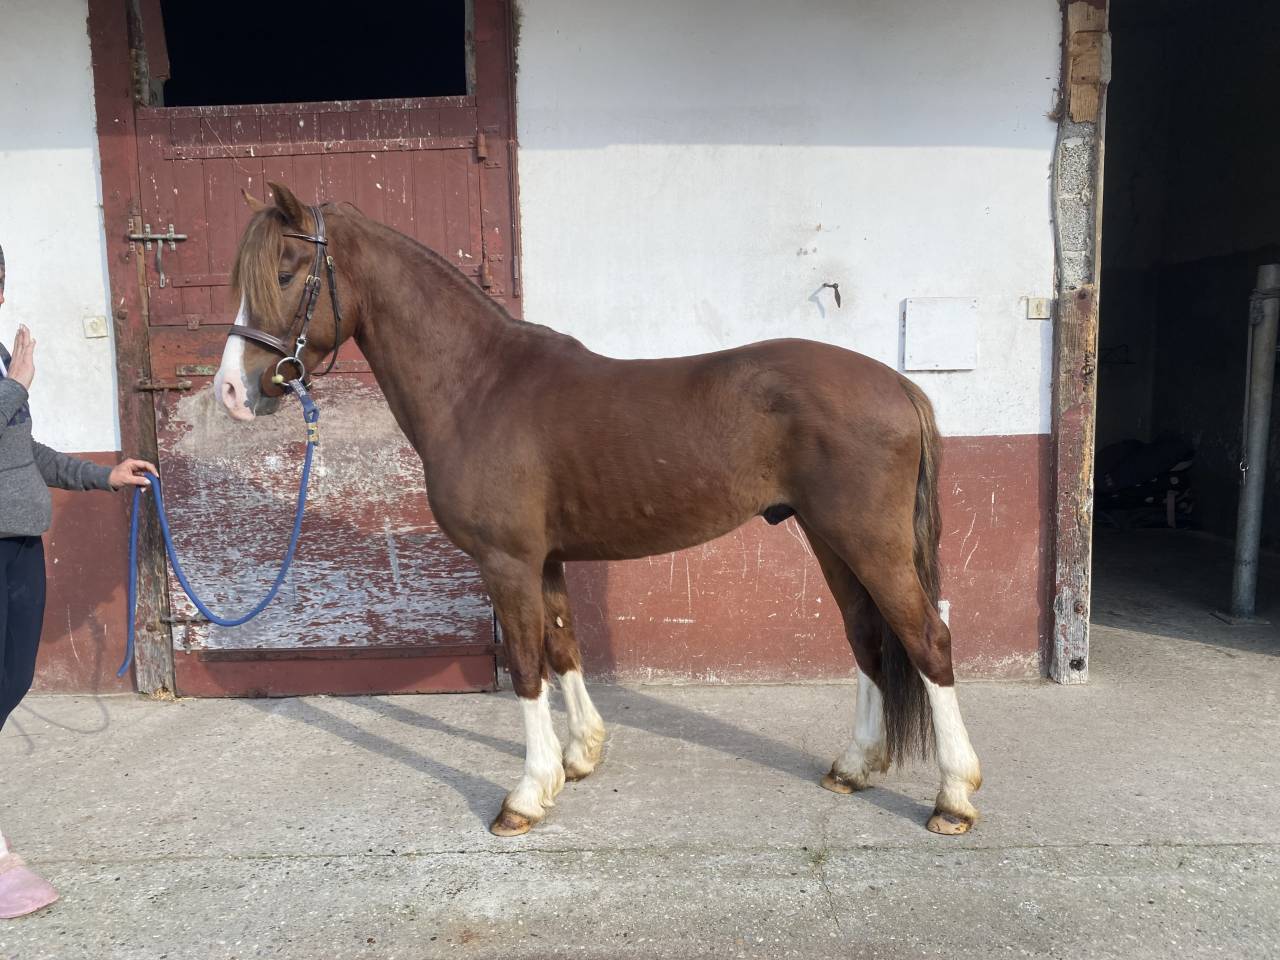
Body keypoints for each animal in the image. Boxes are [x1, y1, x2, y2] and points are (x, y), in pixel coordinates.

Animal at [212, 182, 983, 837]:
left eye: (286, 272)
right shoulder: (545, 560)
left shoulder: (507, 562)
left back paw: (953, 797)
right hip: (831, 539)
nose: (231, 391)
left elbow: (528, 666)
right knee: (867, 636)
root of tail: (899, 386)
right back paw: (853, 767)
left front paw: (526, 796)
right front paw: (578, 758)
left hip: (870, 541)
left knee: (928, 640)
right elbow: (563, 646)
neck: (479, 387)